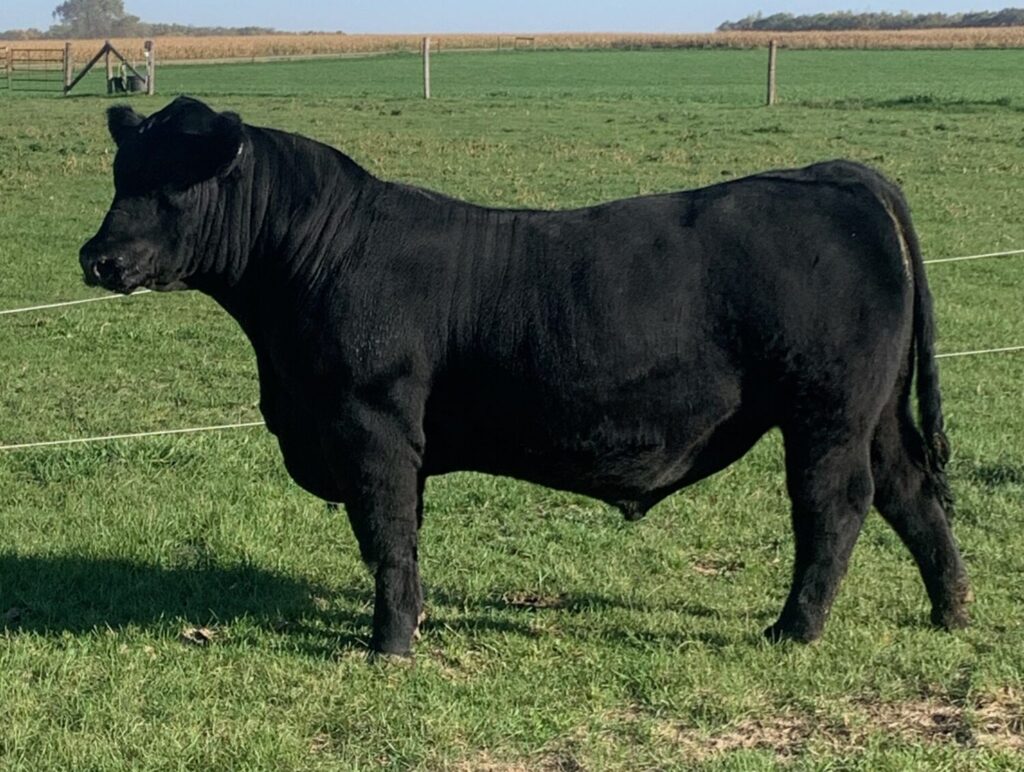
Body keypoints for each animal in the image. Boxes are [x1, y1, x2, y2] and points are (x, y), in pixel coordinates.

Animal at [80, 96, 970, 657]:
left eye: (175, 182)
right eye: (122, 176)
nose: (98, 257)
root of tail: (833, 172)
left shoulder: (373, 428)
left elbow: (387, 535)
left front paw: (388, 644)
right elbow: (397, 537)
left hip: (826, 412)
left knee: (834, 505)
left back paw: (795, 628)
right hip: (873, 413)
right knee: (910, 493)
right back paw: (952, 609)